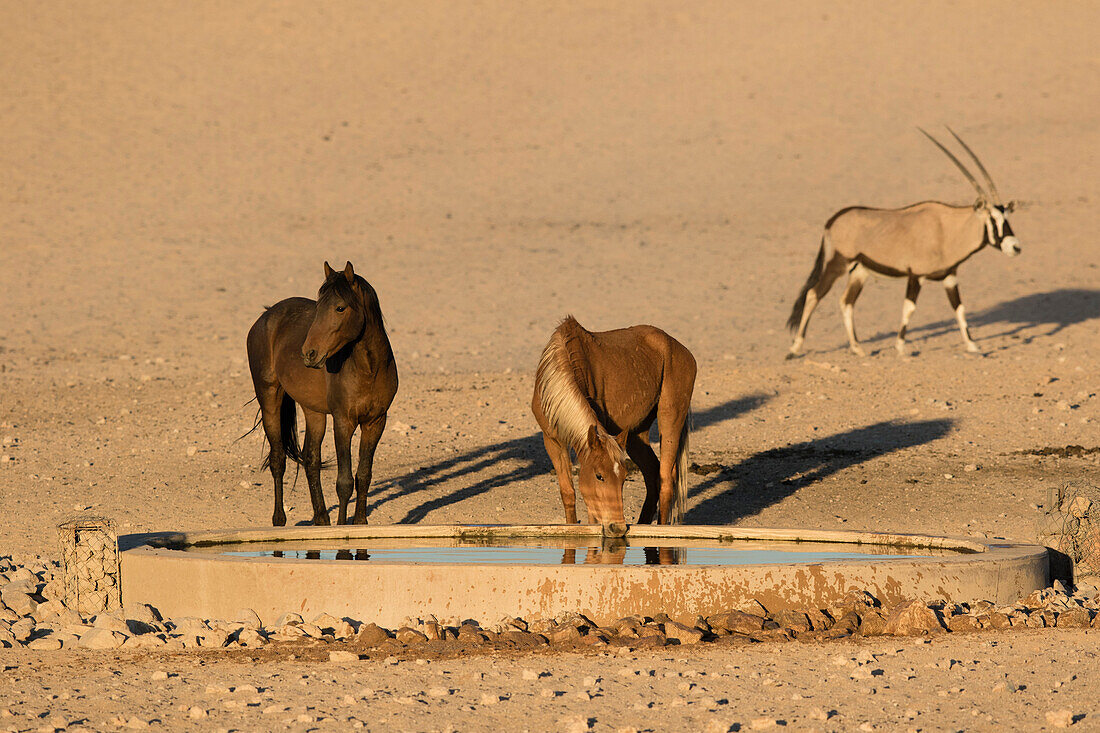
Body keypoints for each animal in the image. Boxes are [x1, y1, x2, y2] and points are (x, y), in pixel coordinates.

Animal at [247, 263, 398, 526]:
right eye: (319, 308)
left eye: (340, 307)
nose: (309, 353)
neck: (369, 369)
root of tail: (266, 315)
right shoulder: (343, 422)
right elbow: (344, 481)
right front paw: (342, 527)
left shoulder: (376, 422)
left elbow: (364, 475)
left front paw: (360, 524)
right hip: (270, 399)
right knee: (278, 460)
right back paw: (279, 519)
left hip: (314, 412)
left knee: (311, 461)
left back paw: (321, 519)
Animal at [532, 316, 695, 534]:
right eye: (599, 476)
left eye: (625, 477)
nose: (617, 527)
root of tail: (680, 349)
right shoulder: (552, 440)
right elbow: (568, 492)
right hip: (635, 434)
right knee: (652, 474)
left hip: (670, 419)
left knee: (666, 479)